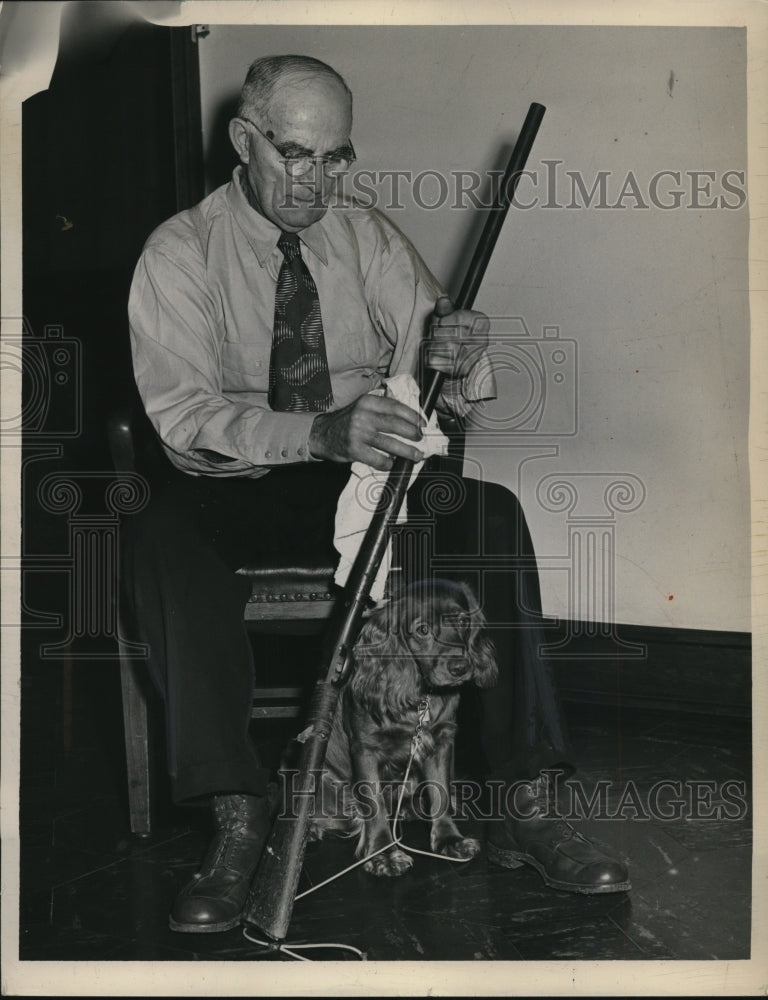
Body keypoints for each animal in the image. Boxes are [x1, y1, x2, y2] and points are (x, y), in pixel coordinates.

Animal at [310, 580, 498, 876]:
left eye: (462, 620)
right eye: (422, 630)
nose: (460, 668)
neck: (419, 698)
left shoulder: (440, 741)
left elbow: (441, 792)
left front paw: (449, 839)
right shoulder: (365, 748)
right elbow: (374, 804)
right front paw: (382, 854)